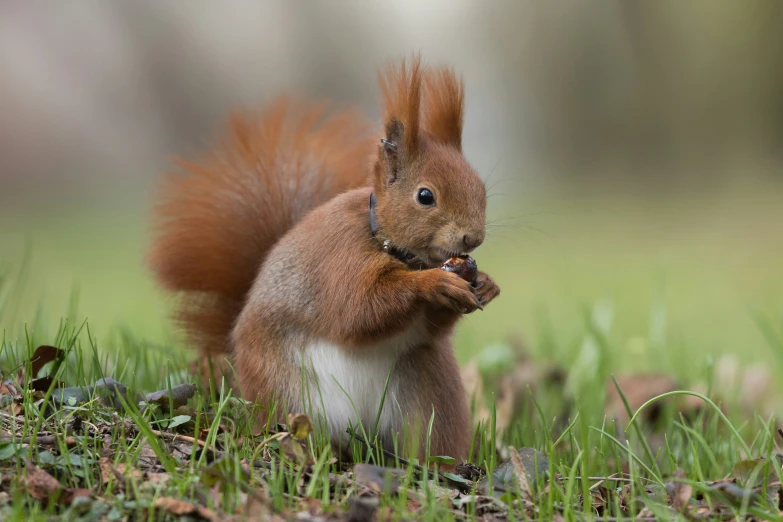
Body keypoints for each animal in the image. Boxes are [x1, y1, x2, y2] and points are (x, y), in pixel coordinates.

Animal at [148, 54, 502, 458]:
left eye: (479, 187)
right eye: (425, 196)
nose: (473, 238)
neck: (391, 245)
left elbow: (430, 326)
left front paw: (485, 284)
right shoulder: (340, 259)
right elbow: (359, 309)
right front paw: (434, 283)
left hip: (428, 391)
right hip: (284, 388)